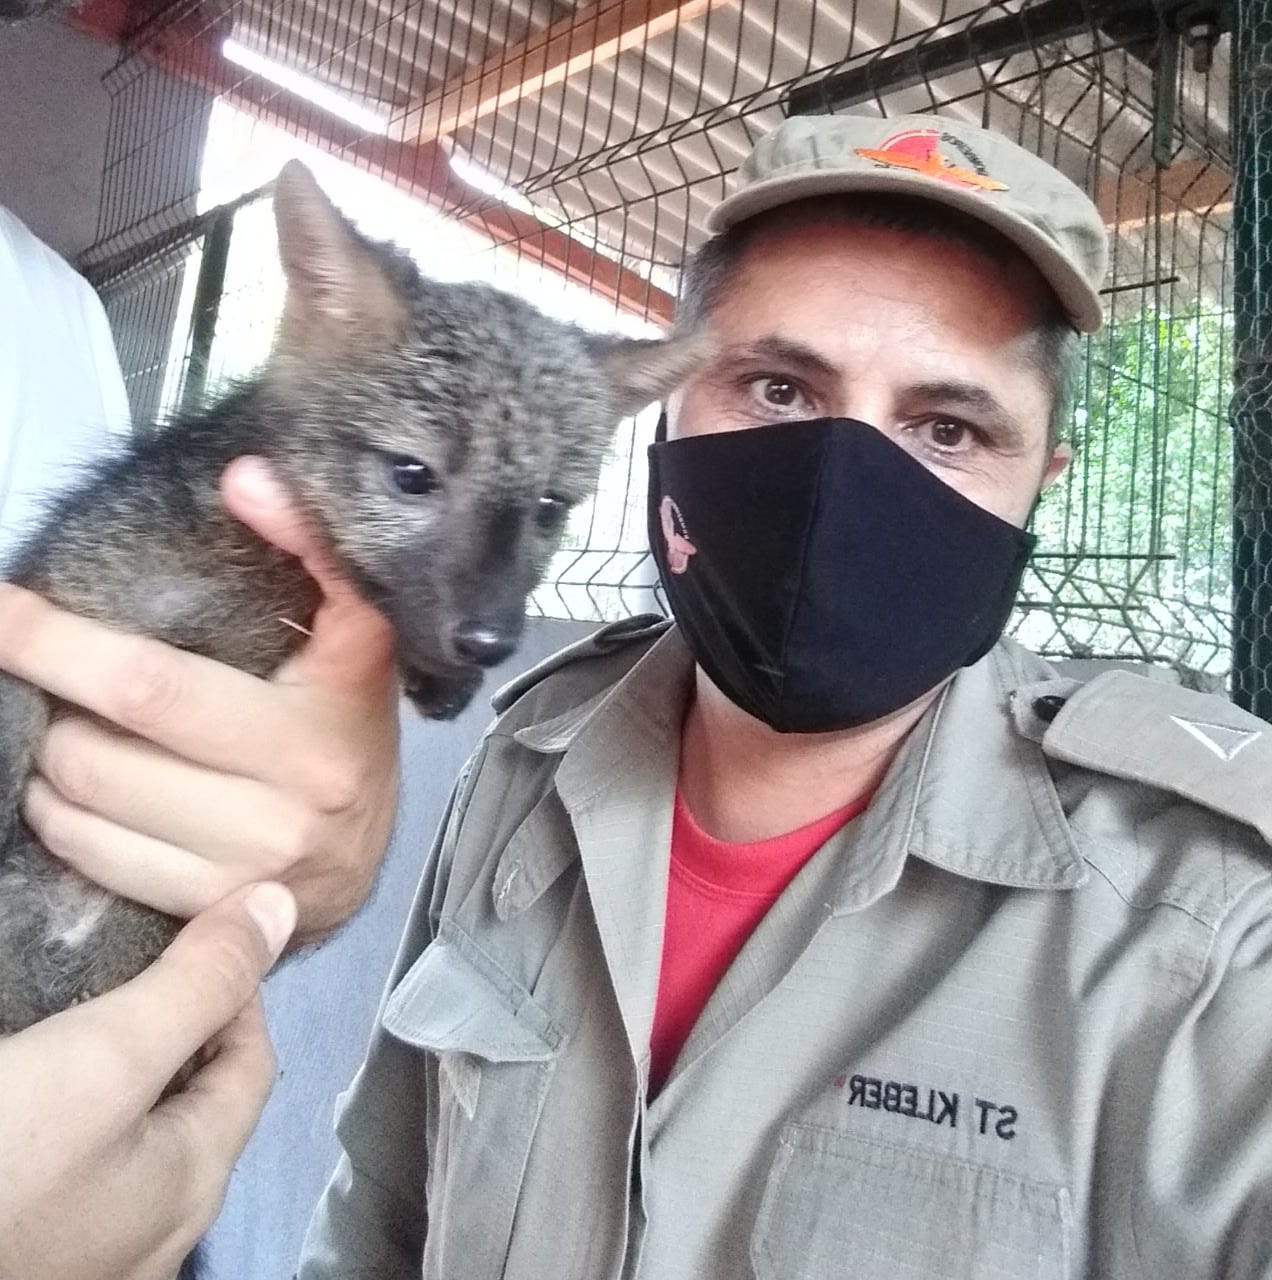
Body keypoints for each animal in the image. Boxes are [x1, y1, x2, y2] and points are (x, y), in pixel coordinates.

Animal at [0, 160, 704, 1033]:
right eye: (411, 474)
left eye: (550, 508)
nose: (491, 643)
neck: (260, 578)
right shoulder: (49, 595)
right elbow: (14, 717)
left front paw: (440, 676)